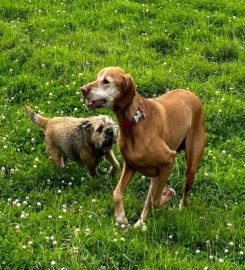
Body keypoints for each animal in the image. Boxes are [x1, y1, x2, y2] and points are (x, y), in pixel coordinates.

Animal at [81, 67, 206, 226]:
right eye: (97, 77)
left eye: (106, 81)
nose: (82, 89)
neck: (135, 121)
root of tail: (192, 94)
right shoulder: (130, 166)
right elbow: (117, 193)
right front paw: (121, 217)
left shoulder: (169, 159)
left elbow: (156, 201)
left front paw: (168, 194)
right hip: (156, 176)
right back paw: (139, 225)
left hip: (190, 167)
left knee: (182, 197)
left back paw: (179, 206)